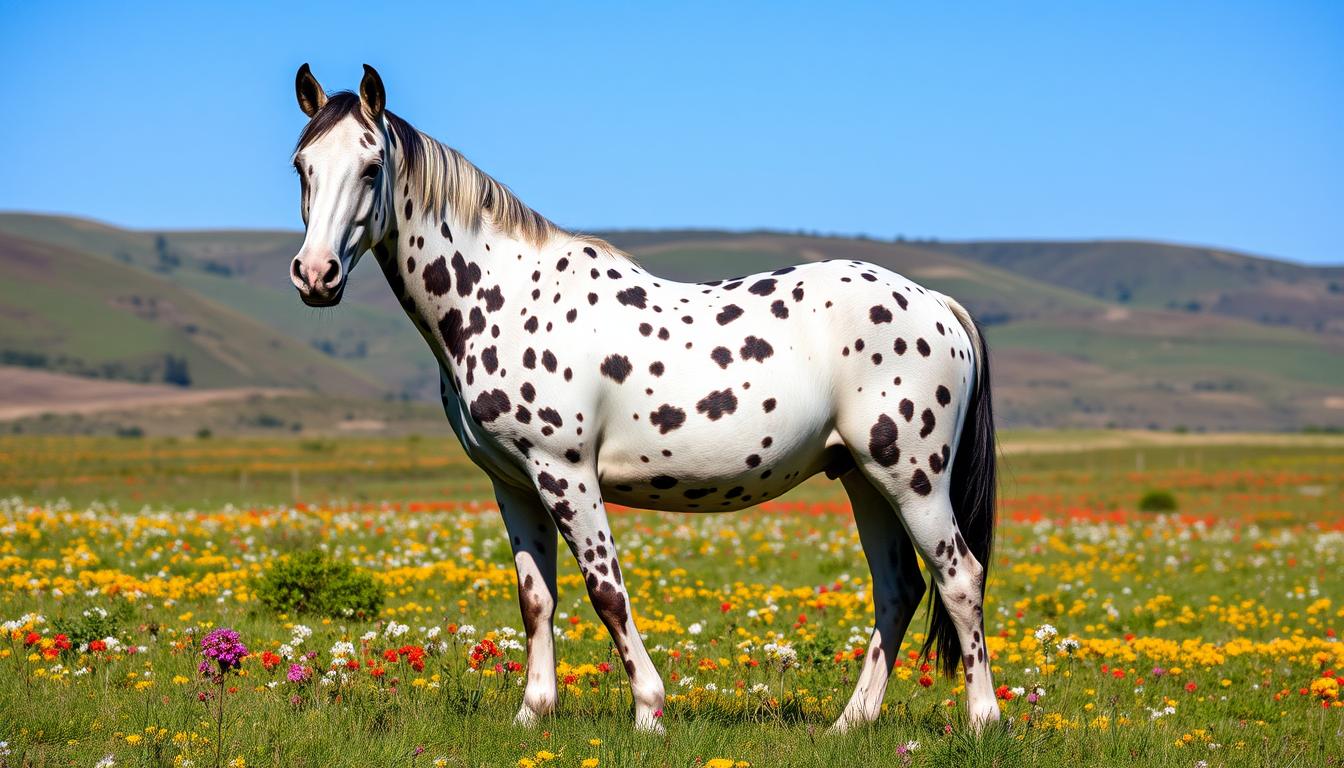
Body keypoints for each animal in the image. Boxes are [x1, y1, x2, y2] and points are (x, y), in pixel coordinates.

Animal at [286, 64, 999, 731]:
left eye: (372, 165)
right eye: (302, 167)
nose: (315, 275)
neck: (503, 294)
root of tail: (935, 303)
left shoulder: (565, 473)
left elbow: (606, 591)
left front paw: (649, 710)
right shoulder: (513, 484)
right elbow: (536, 599)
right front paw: (533, 713)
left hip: (911, 480)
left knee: (959, 578)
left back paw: (982, 720)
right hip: (861, 476)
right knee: (898, 588)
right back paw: (851, 722)